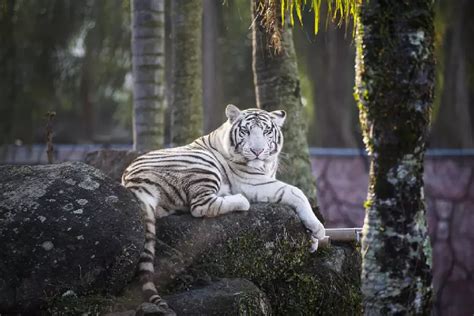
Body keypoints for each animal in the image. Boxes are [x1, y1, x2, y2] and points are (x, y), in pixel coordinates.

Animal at [121, 103, 326, 308]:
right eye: (246, 131)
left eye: (266, 131)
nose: (257, 151)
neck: (266, 166)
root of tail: (133, 182)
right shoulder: (252, 181)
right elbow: (296, 192)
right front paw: (318, 229)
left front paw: (312, 239)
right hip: (203, 163)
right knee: (200, 206)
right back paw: (239, 200)